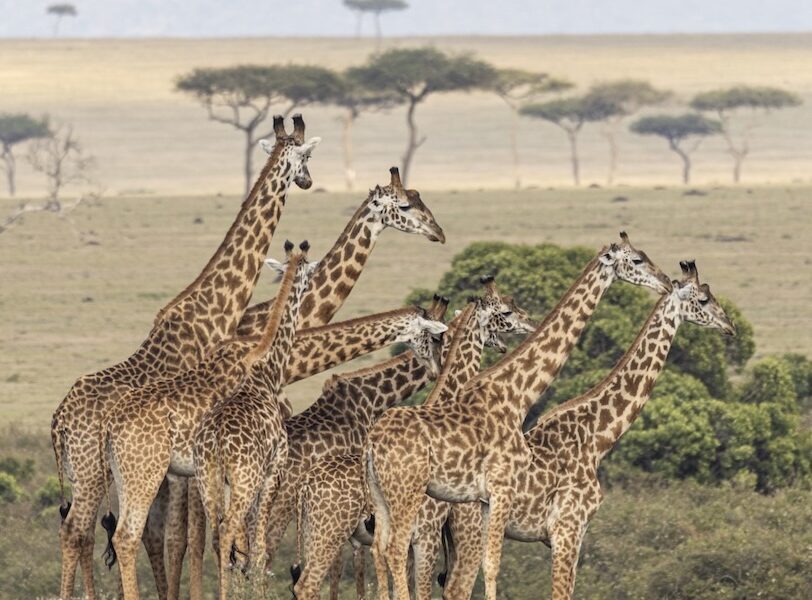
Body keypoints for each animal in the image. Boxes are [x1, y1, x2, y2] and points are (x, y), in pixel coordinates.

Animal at [101, 241, 315, 600]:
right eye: (310, 269)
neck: (264, 367)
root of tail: (111, 426)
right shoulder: (270, 469)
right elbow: (253, 546)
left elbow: (227, 546)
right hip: (150, 474)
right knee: (130, 535)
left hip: (127, 475)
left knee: (125, 536)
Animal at [287, 279, 536, 600]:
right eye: (504, 311)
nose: (529, 322)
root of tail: (306, 484)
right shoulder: (425, 535)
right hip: (329, 530)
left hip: (313, 530)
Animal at [364, 233, 672, 600]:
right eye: (636, 260)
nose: (667, 281)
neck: (516, 396)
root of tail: (372, 442)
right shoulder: (508, 493)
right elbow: (494, 566)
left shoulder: (490, 499)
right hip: (412, 502)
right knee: (400, 554)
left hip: (384, 497)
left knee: (380, 551)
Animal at [444, 260, 736, 600]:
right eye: (703, 299)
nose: (730, 325)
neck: (598, 437)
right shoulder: (567, 530)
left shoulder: (574, 535)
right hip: (471, 533)